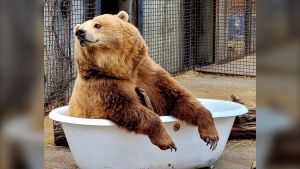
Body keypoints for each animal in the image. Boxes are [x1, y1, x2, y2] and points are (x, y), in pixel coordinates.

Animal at [67, 10, 218, 151]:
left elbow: (176, 97)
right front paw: (167, 141)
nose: (80, 32)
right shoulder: (103, 83)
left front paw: (211, 135)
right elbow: (127, 107)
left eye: (97, 24)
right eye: (79, 29)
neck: (118, 68)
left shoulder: (147, 73)